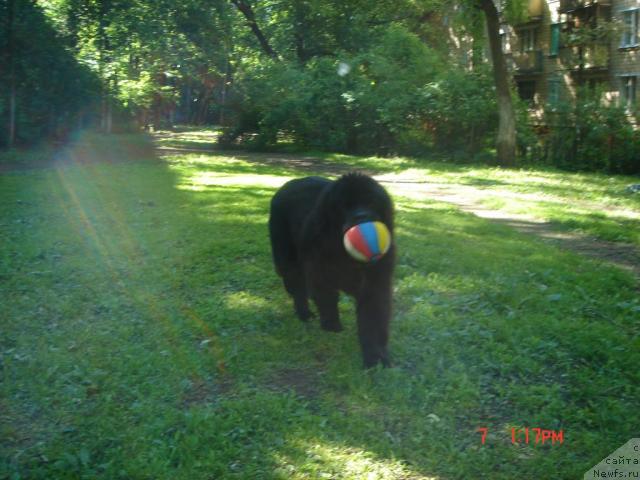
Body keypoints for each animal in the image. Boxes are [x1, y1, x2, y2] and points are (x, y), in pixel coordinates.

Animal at [266, 173, 396, 368]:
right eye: (344, 206)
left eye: (371, 202)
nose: (362, 216)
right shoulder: (319, 270)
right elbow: (326, 299)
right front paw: (332, 326)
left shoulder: (376, 282)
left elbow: (373, 316)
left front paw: (375, 355)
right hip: (287, 254)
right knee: (296, 284)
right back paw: (304, 313)